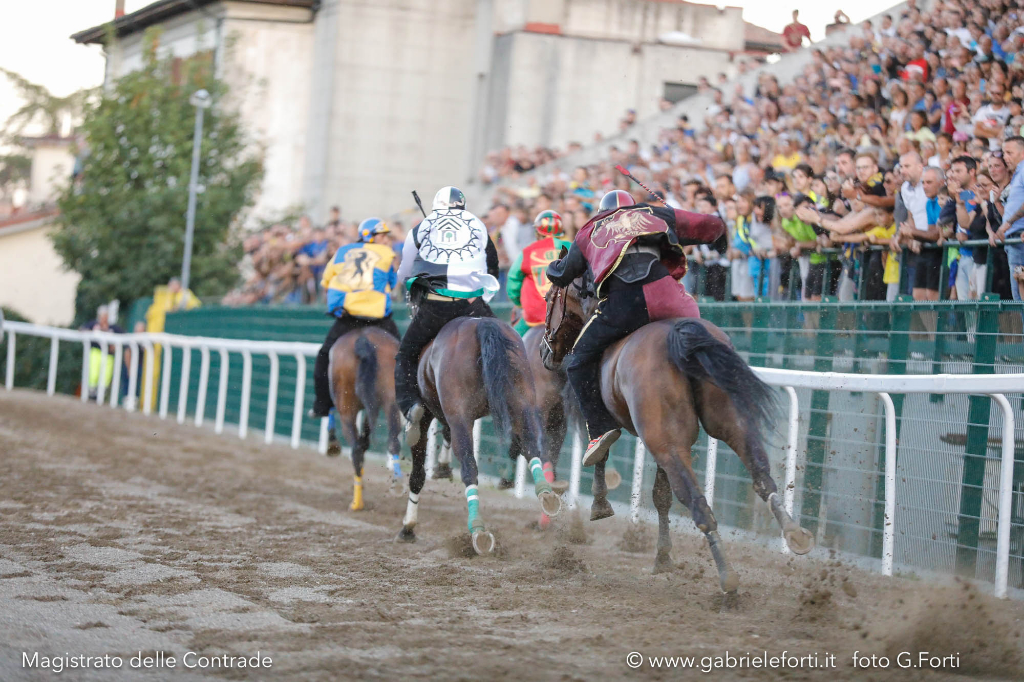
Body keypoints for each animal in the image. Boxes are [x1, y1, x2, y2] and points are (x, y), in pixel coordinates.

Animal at [331, 327, 403, 507]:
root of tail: (363, 339)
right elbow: (366, 436)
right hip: (391, 397)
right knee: (393, 440)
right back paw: (398, 481)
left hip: (345, 407)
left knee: (355, 449)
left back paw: (356, 503)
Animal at [397, 315, 561, 548]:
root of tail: (481, 323)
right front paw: (443, 467)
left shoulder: (431, 415)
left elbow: (418, 473)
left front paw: (408, 526)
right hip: (523, 403)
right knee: (530, 446)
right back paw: (546, 495)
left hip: (460, 416)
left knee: (469, 466)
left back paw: (478, 530)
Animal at [540, 280, 811, 589]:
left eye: (548, 299)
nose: (544, 353)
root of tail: (679, 336)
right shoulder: (670, 442)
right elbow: (661, 495)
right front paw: (663, 556)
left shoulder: (607, 416)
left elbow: (601, 448)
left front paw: (600, 504)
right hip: (722, 425)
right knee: (761, 476)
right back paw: (794, 533)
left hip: (666, 443)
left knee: (698, 503)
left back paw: (727, 576)